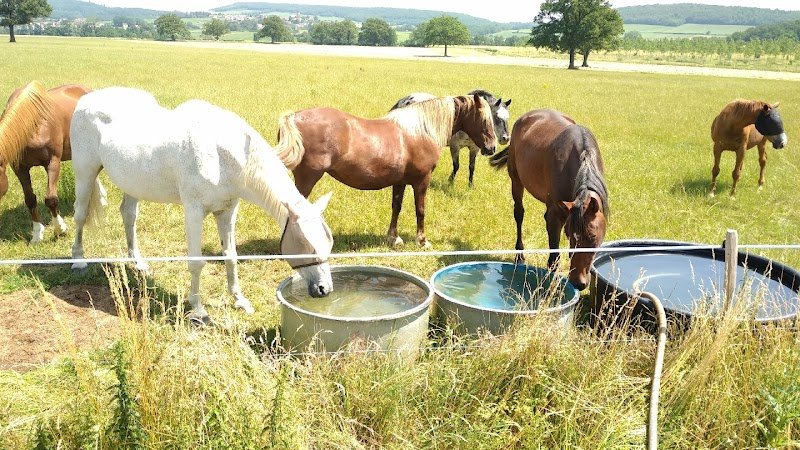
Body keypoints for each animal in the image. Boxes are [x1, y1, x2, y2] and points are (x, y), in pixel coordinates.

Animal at [0, 81, 92, 243]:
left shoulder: (52, 162)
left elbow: (50, 199)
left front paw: (60, 229)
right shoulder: (20, 169)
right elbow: (30, 199)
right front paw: (37, 234)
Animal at [69, 87, 334, 324]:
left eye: (329, 244)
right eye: (306, 246)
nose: (324, 289)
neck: (220, 156)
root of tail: (86, 99)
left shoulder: (227, 212)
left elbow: (231, 256)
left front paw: (239, 300)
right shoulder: (194, 212)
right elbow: (196, 263)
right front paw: (198, 310)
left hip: (133, 183)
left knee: (128, 215)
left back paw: (139, 263)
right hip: (85, 173)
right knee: (80, 215)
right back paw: (78, 260)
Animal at [275, 93, 497, 248]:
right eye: (485, 120)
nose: (492, 147)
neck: (421, 131)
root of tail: (295, 117)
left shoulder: (400, 182)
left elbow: (396, 207)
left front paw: (393, 238)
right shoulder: (422, 180)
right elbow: (420, 210)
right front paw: (422, 241)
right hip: (308, 178)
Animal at [489, 109, 609, 291]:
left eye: (593, 237)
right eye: (571, 236)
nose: (578, 282)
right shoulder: (555, 214)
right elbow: (554, 258)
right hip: (516, 181)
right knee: (519, 213)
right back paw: (519, 255)